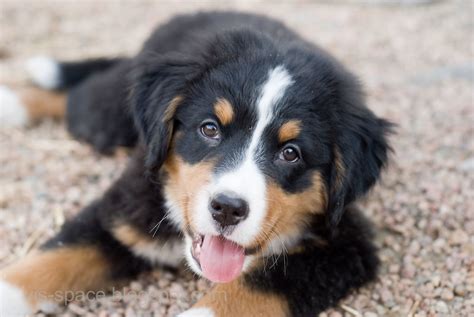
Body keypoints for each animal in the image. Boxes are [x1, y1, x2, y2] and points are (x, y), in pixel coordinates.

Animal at [0, 11, 392, 314]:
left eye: (290, 152)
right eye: (209, 129)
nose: (228, 209)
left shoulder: (342, 247)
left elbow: (249, 291)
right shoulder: (121, 213)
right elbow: (52, 260)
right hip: (105, 117)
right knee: (83, 95)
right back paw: (13, 103)